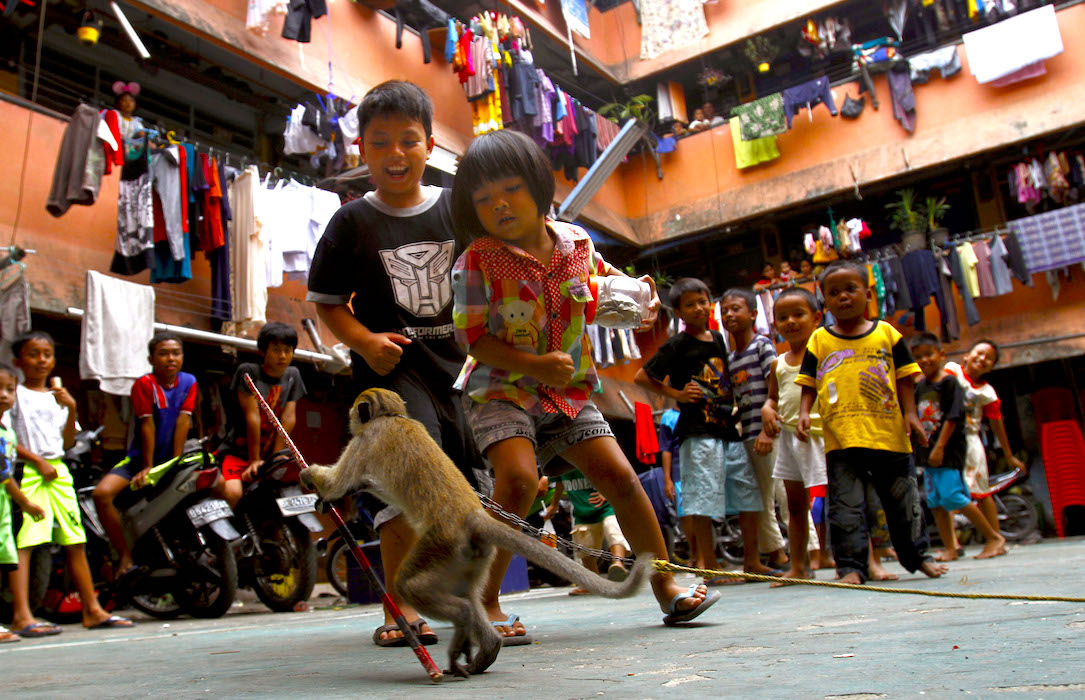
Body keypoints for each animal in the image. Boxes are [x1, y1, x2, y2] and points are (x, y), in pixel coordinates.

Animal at [299, 388, 651, 677]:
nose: (349, 417)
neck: (392, 417)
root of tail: (472, 517)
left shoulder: (366, 439)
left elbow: (338, 482)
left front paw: (311, 478)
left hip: (441, 545)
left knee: (414, 586)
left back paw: (463, 623)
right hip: (471, 556)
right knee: (467, 593)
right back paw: (489, 646)